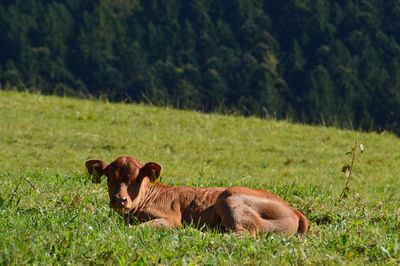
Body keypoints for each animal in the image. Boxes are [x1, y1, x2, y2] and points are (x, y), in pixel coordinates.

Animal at [85, 155, 310, 236]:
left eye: (136, 178)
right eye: (109, 177)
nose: (119, 199)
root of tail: (294, 210)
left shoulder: (170, 218)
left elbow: (139, 228)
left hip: (230, 197)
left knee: (242, 234)